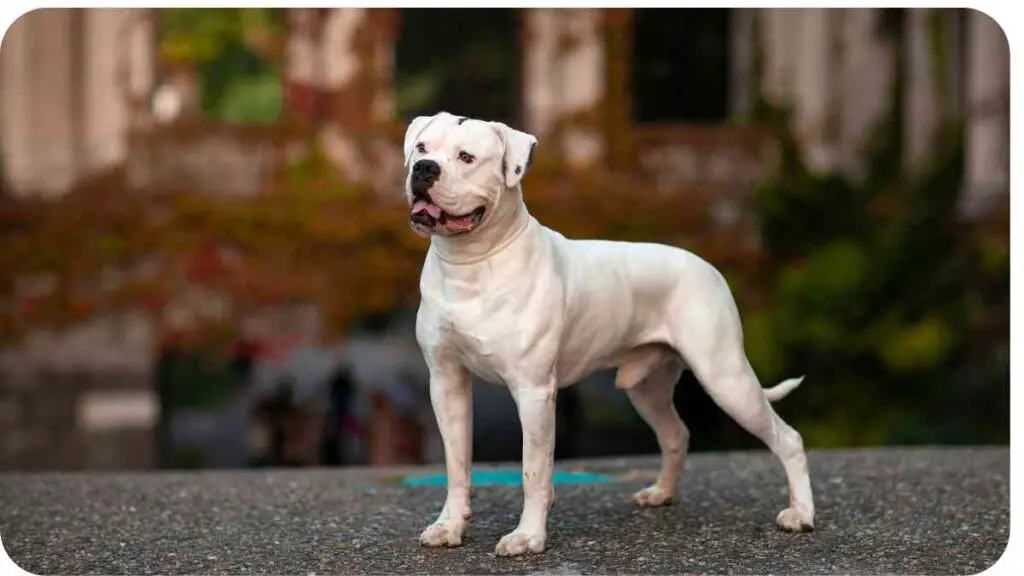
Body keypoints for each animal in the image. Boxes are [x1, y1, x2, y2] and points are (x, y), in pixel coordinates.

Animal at [403, 109, 811, 553]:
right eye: (422, 148)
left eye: (466, 157)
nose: (424, 169)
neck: (471, 263)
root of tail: (707, 266)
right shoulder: (447, 383)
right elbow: (456, 464)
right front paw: (449, 525)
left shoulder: (533, 391)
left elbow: (533, 471)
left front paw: (527, 537)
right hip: (648, 388)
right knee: (676, 434)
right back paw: (661, 493)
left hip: (726, 378)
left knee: (787, 438)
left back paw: (801, 515)